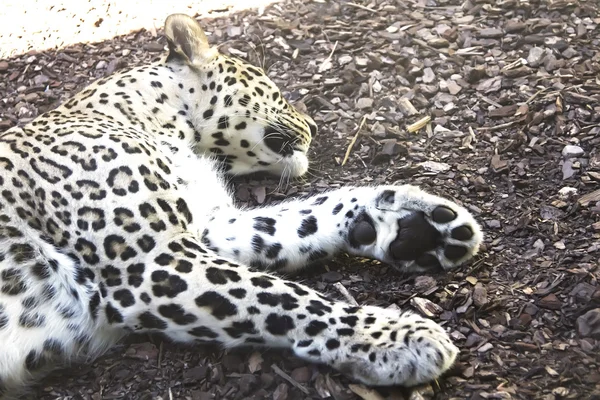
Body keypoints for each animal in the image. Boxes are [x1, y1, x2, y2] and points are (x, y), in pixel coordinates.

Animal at [0, 13, 482, 400]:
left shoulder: (208, 227)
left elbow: (298, 221)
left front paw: (414, 225)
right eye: (275, 89)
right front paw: (394, 337)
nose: (314, 125)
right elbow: (278, 297)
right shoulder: (149, 261)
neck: (163, 126)